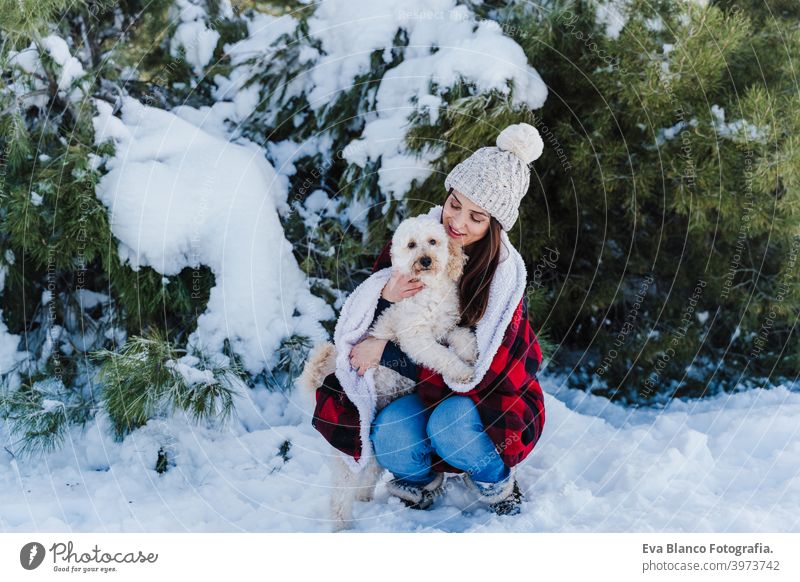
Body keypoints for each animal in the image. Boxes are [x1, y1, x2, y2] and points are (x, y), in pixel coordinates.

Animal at [298, 216, 476, 532]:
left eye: (433, 241)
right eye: (411, 244)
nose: (426, 260)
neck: (428, 290)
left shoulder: (446, 326)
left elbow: (460, 335)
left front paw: (469, 353)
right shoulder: (417, 340)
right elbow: (442, 356)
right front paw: (462, 372)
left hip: (371, 447)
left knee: (367, 476)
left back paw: (366, 500)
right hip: (349, 451)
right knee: (340, 494)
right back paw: (342, 525)